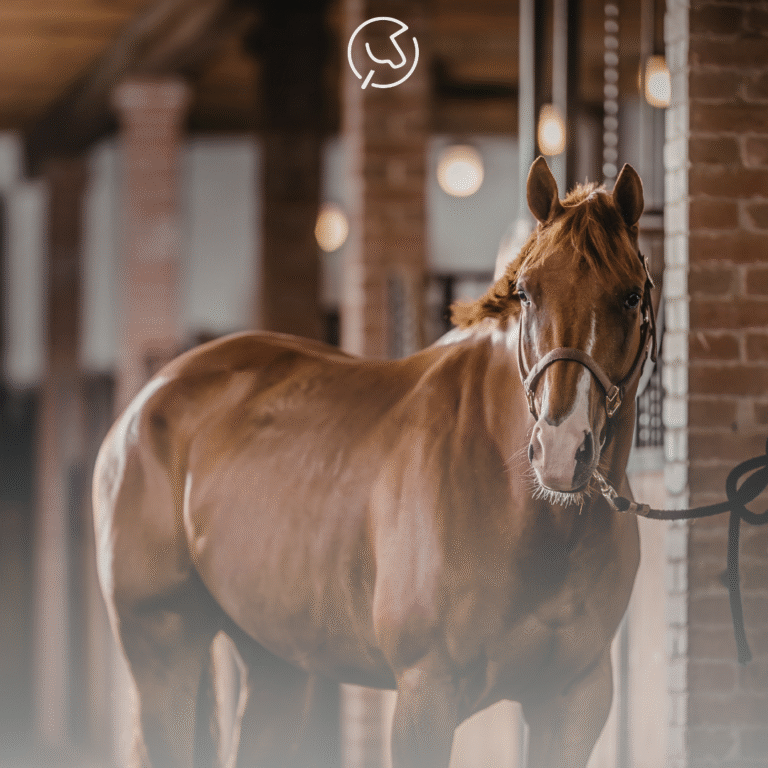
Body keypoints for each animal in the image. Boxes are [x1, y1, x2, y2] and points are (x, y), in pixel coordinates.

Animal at [93, 156, 654, 768]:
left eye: (630, 296)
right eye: (527, 293)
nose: (560, 450)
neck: (521, 509)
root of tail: (146, 402)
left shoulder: (573, 702)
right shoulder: (425, 695)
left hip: (277, 662)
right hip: (163, 654)